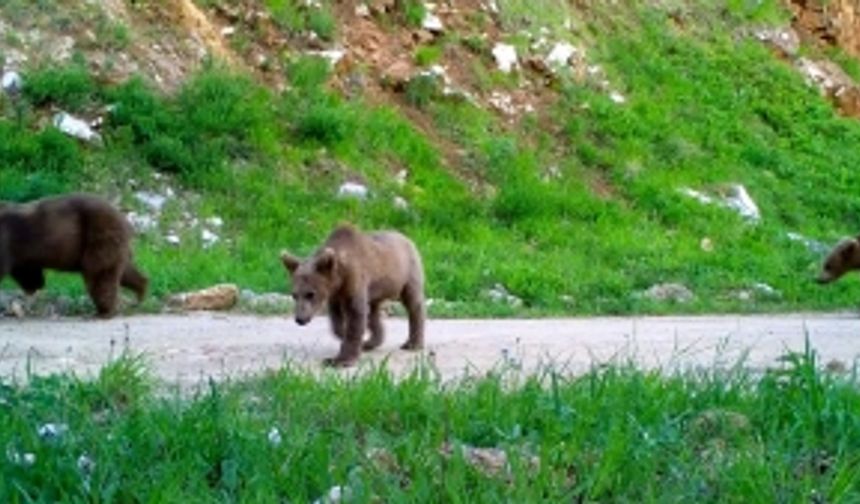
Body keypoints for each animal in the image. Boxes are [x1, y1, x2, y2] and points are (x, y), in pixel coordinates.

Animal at [280, 223, 424, 366]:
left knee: (413, 303)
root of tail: (406, 237)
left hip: (407, 273)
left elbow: (355, 313)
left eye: (310, 294)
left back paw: (413, 343)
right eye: (294, 295)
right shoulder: (335, 292)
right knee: (373, 311)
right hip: (377, 289)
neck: (340, 275)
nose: (300, 319)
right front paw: (345, 334)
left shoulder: (355, 279)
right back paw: (370, 342)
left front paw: (341, 359)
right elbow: (337, 317)